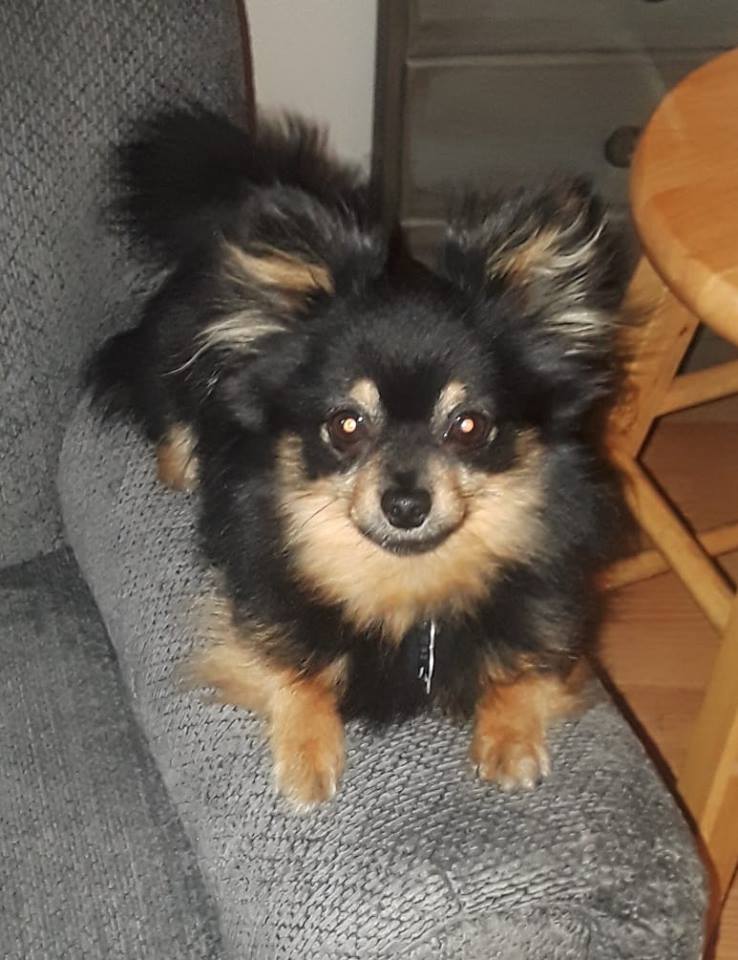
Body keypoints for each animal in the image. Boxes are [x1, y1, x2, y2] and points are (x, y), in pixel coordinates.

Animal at [87, 107, 628, 808]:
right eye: (346, 426)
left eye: (469, 426)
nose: (405, 503)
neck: (404, 581)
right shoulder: (255, 606)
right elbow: (293, 666)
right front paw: (306, 754)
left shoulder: (560, 618)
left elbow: (529, 664)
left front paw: (511, 741)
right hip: (180, 366)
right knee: (171, 410)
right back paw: (179, 464)